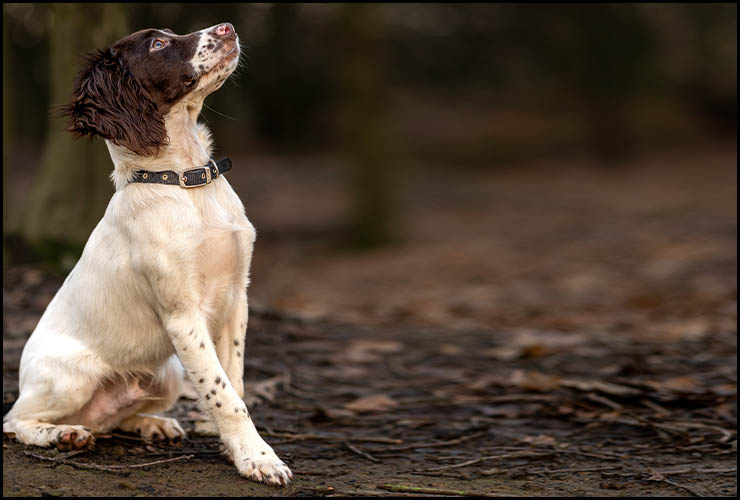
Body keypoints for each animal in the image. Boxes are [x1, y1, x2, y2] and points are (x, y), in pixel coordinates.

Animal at [2, 22, 292, 484]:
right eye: (158, 44)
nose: (227, 27)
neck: (186, 180)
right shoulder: (183, 316)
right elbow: (224, 394)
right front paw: (258, 457)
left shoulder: (236, 300)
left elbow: (236, 382)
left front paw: (235, 448)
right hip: (70, 378)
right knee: (15, 420)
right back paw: (63, 434)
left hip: (166, 375)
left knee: (113, 420)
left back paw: (151, 424)